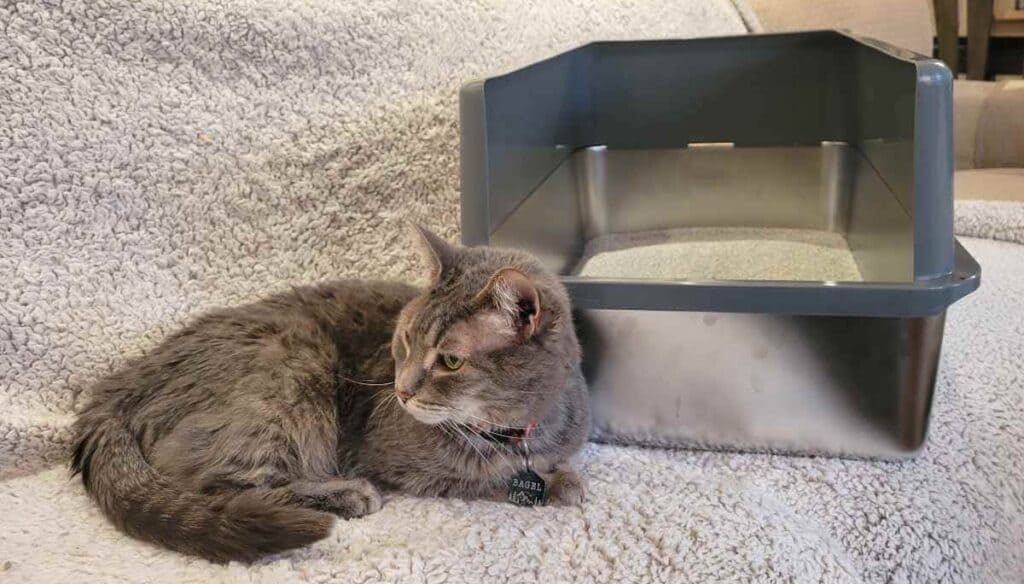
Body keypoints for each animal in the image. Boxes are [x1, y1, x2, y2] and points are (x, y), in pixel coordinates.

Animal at [70, 222, 593, 557]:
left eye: (450, 360)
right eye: (406, 340)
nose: (401, 391)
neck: (517, 429)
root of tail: (118, 385)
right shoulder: (396, 457)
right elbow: (481, 474)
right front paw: (559, 483)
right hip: (291, 370)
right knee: (217, 483)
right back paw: (343, 495)